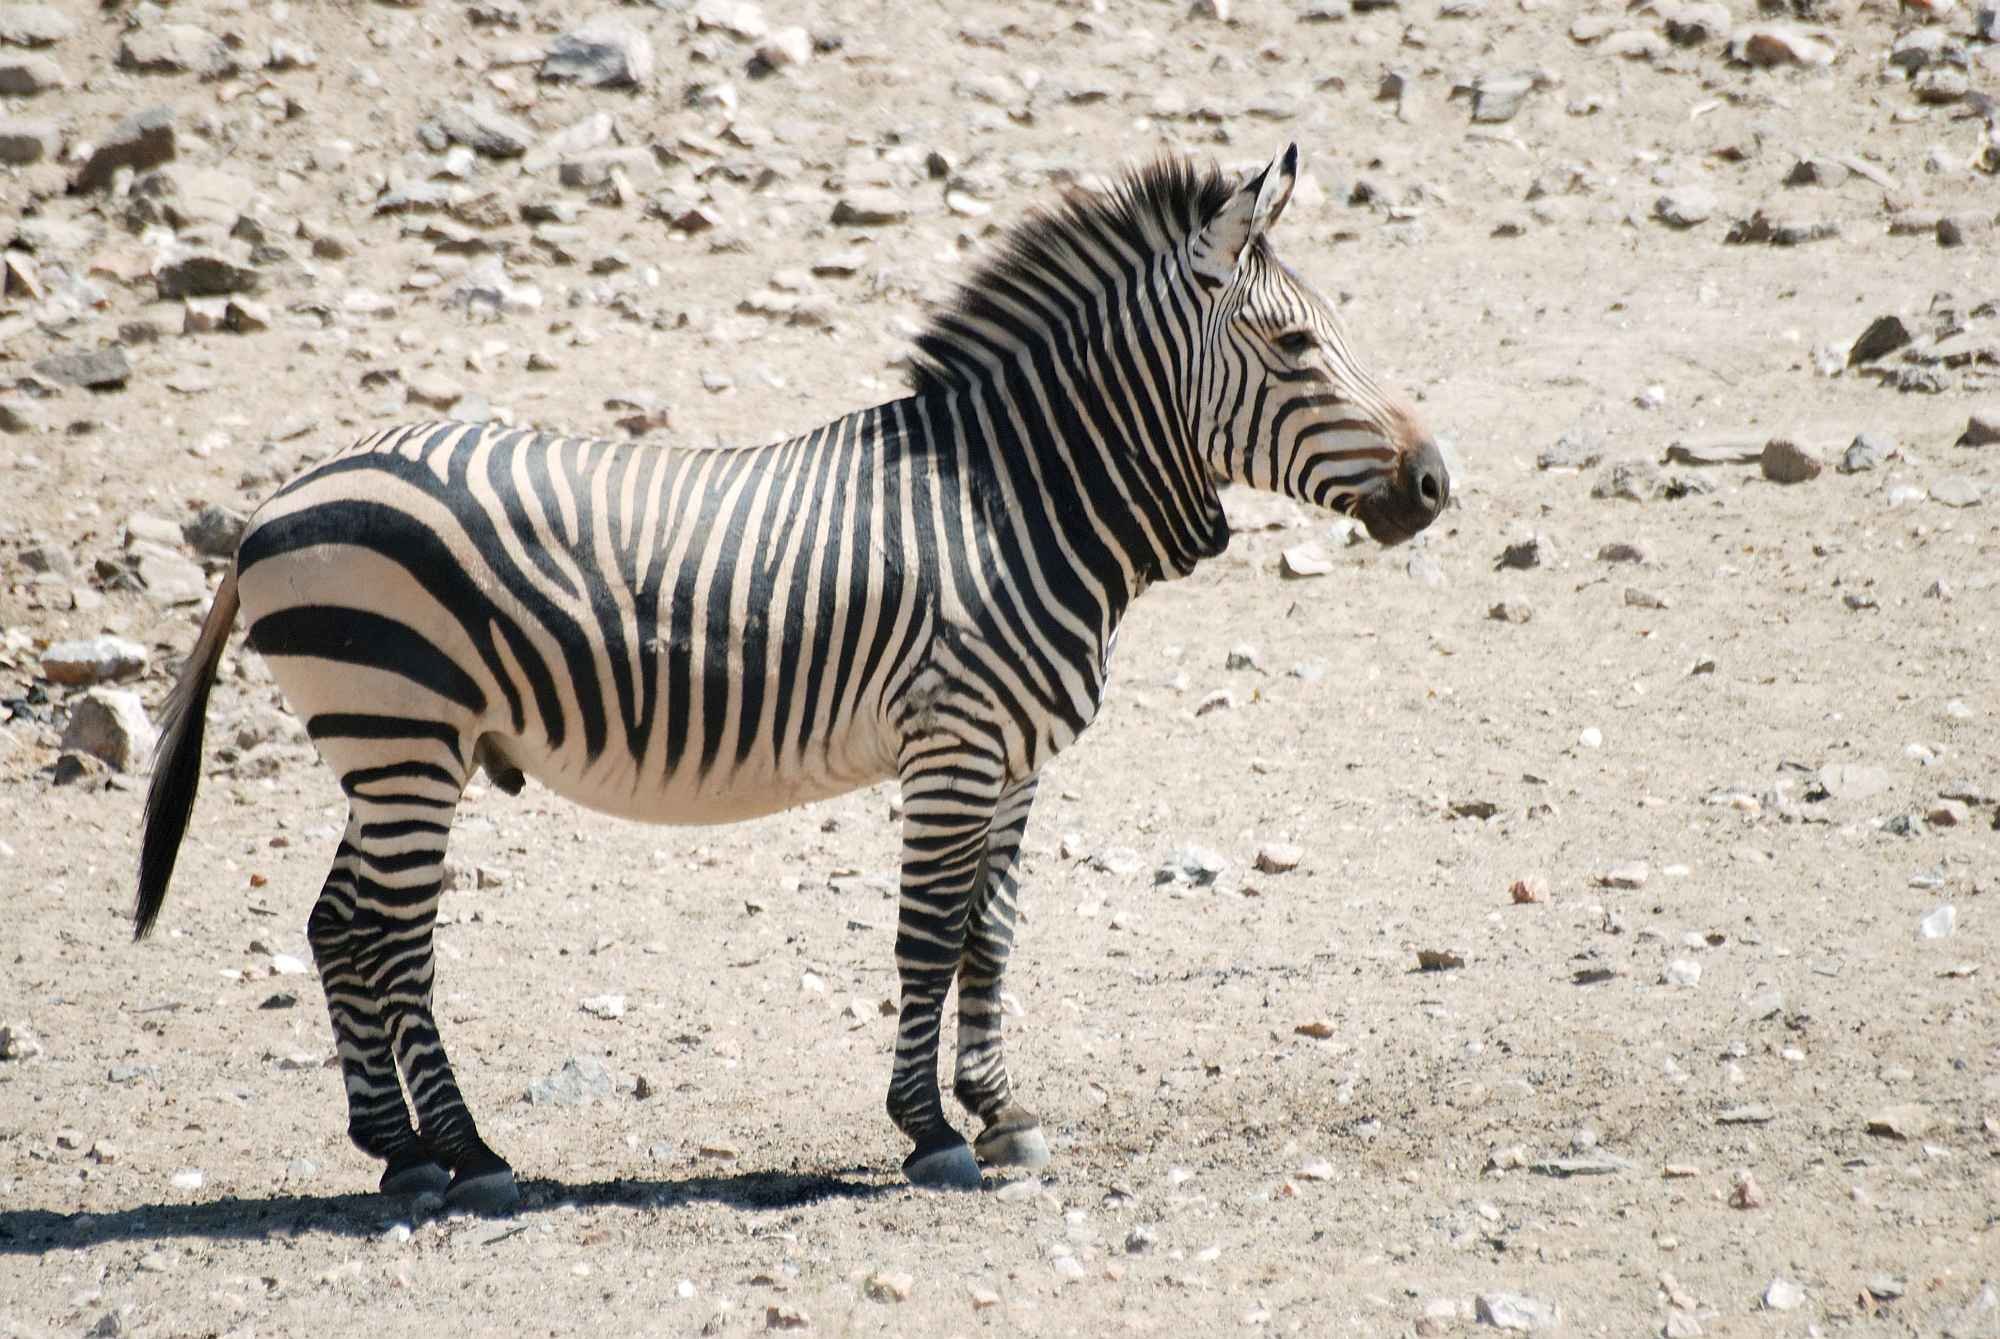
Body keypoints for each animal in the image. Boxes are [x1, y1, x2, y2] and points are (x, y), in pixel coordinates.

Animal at [141, 143, 1448, 1215]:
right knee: (390, 937)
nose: (1435, 482)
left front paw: (1003, 1111)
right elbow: (926, 937)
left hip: (393, 748)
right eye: (1293, 345)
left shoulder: (1015, 760)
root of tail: (269, 508)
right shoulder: (954, 743)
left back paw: (402, 1151)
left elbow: (989, 937)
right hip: (399, 732)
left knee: (338, 925)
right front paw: (929, 1132)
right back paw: (466, 1155)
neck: (1015, 503)